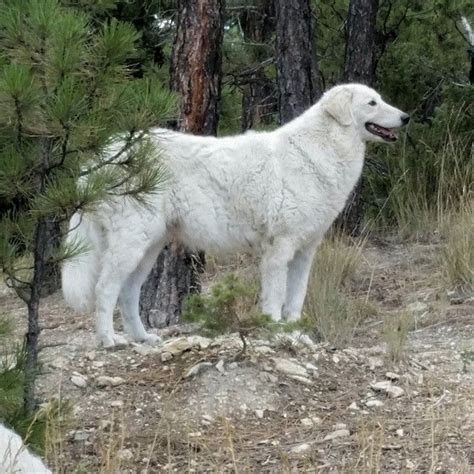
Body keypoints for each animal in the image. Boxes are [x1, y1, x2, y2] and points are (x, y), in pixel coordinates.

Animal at [61, 83, 410, 346]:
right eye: (372, 103)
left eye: (380, 99)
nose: (406, 117)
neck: (320, 151)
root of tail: (99, 157)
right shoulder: (279, 249)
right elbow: (275, 298)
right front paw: (276, 333)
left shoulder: (305, 251)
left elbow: (295, 299)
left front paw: (295, 335)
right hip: (131, 244)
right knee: (105, 290)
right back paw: (109, 340)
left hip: (149, 247)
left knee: (128, 293)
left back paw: (143, 338)